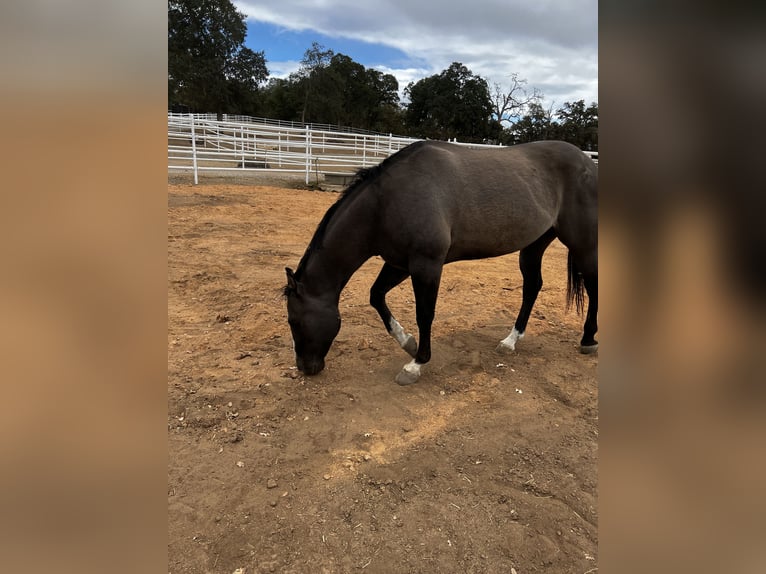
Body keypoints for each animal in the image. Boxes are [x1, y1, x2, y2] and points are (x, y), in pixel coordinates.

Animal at [286, 141, 600, 388]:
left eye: (293, 321)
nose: (305, 368)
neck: (386, 202)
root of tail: (587, 161)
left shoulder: (426, 265)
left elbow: (425, 314)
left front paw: (416, 364)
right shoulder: (400, 263)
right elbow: (376, 296)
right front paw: (407, 342)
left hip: (583, 243)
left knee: (593, 285)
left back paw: (588, 340)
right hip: (534, 244)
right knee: (533, 286)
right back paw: (510, 341)